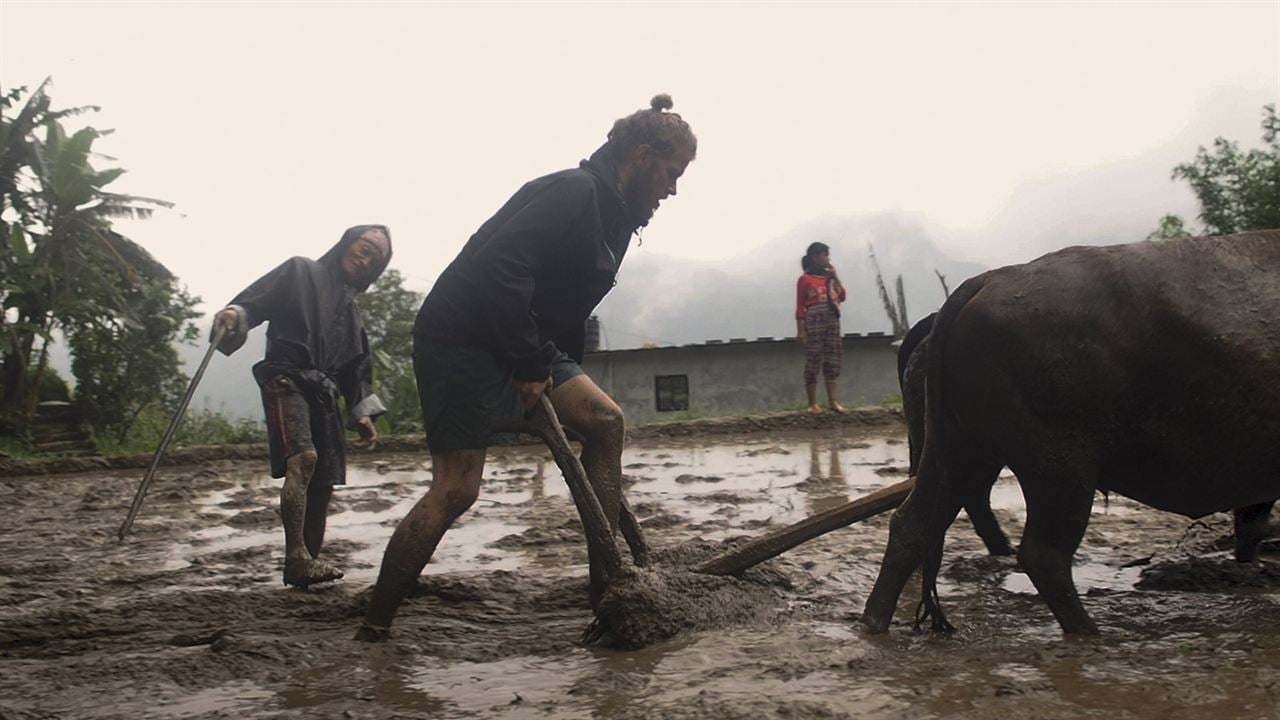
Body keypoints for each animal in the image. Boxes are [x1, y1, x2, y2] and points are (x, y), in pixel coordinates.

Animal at [865, 230, 1274, 632]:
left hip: (959, 450)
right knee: (1043, 553)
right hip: (1060, 466)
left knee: (914, 524)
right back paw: (1089, 633)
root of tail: (988, 280)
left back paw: (875, 621)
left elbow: (1250, 526)